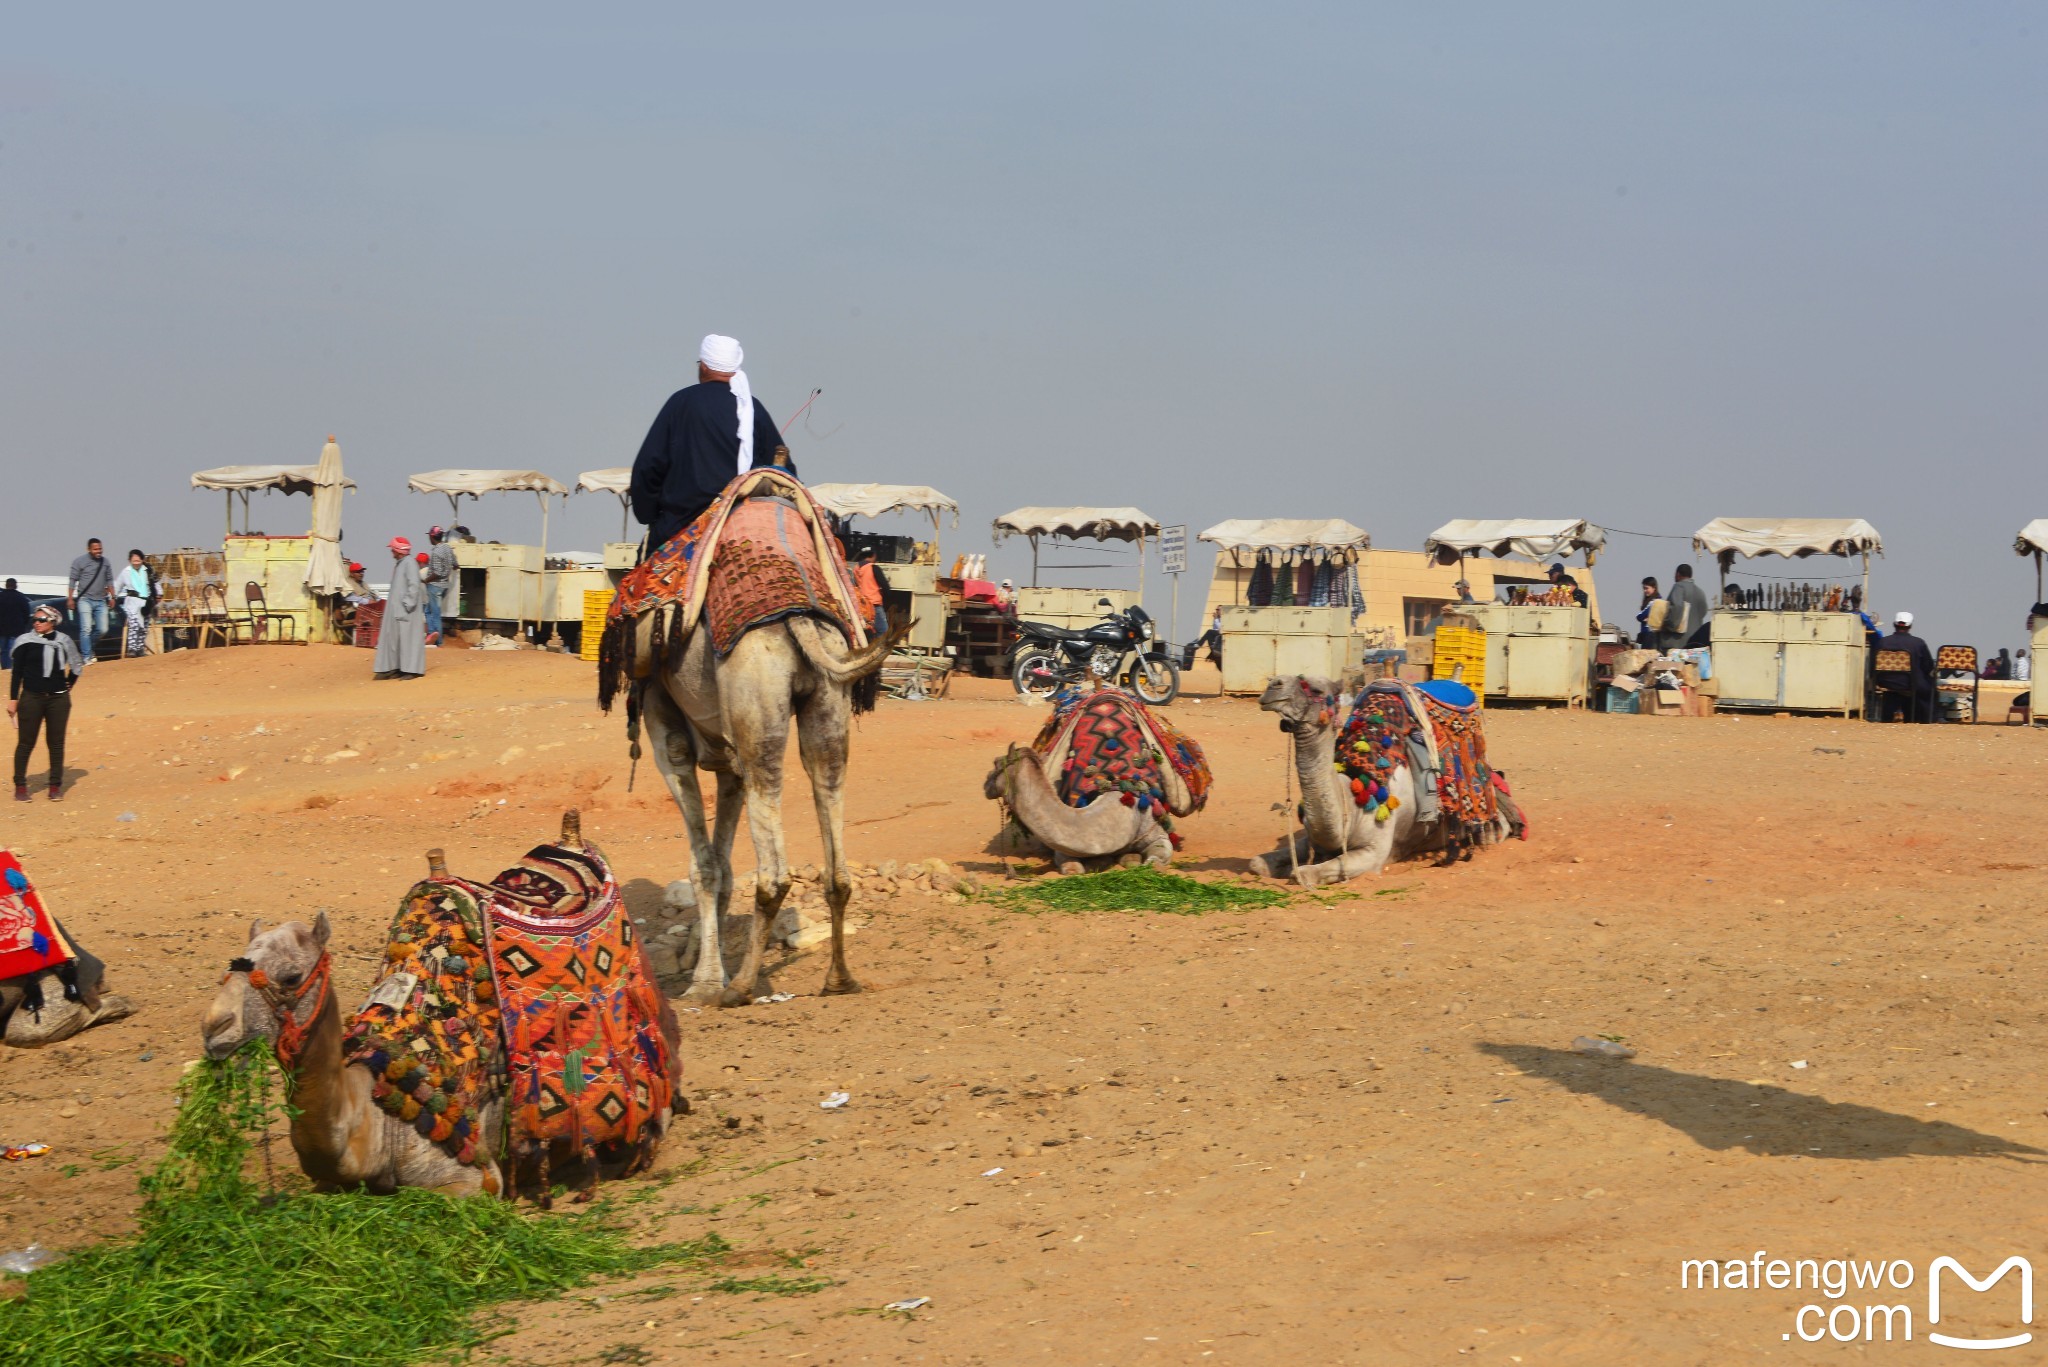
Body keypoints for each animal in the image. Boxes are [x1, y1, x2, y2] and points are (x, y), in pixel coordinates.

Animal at [1245, 672, 1523, 889]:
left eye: (1315, 689)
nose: (1273, 684)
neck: (1353, 800)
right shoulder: (1312, 838)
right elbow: (1257, 863)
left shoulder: (1374, 852)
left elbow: (1304, 873)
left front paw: (1296, 872)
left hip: (1487, 824)